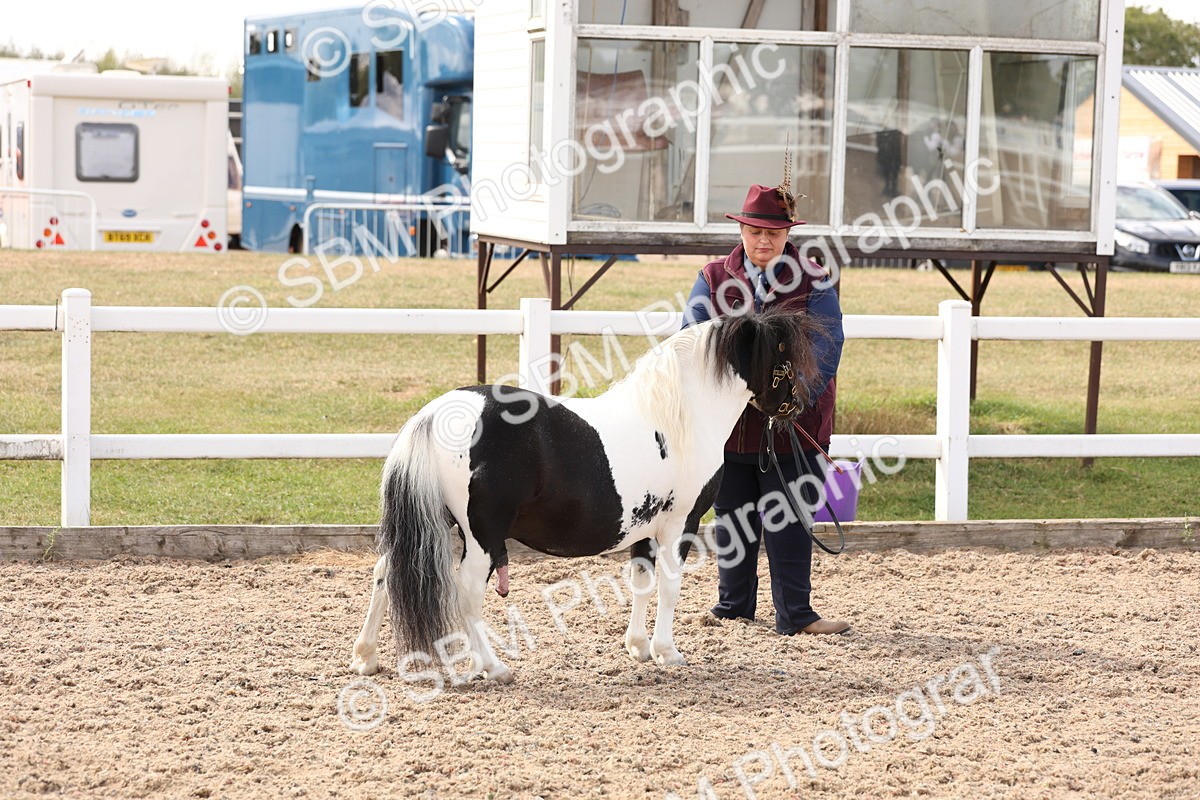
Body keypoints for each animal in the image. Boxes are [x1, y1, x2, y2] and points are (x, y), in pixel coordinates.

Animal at [350, 308, 824, 683]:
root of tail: (434, 414)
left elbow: (641, 582)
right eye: (782, 356)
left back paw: (366, 658)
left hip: (433, 523)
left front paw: (638, 646)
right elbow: (670, 586)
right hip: (482, 536)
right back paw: (494, 667)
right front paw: (667, 652)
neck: (682, 416)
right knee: (466, 591)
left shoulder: (645, 528)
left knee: (385, 570)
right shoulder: (680, 524)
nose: (799, 405)